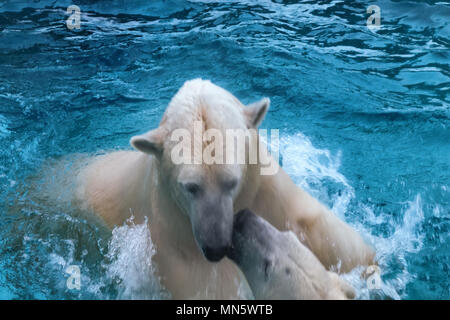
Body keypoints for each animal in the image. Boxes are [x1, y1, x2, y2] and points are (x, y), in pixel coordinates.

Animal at [75, 79, 374, 298]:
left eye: (232, 181)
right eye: (190, 187)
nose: (216, 247)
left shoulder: (270, 194)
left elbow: (341, 244)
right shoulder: (177, 242)